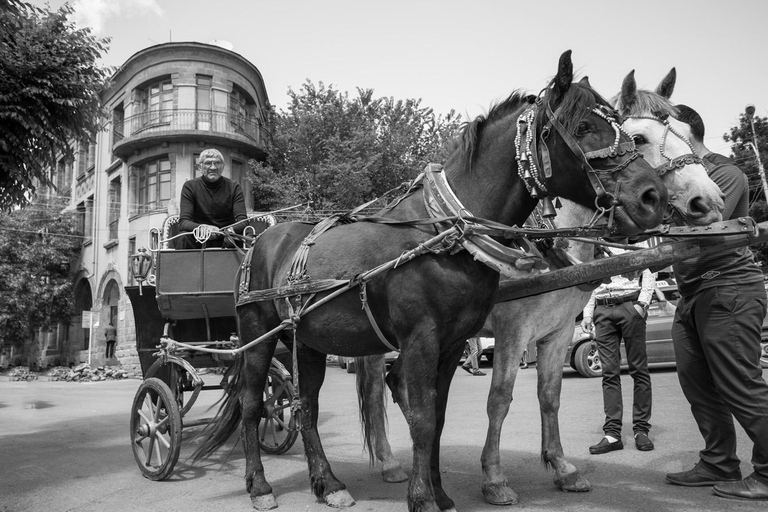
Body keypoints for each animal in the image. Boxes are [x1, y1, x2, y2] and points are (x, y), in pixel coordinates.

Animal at [192, 49, 664, 512]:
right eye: (584, 127)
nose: (652, 196)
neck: (447, 232)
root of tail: (259, 238)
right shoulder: (432, 337)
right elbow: (426, 414)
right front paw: (426, 497)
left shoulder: (459, 342)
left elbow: (440, 416)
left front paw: (441, 493)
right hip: (257, 331)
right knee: (254, 403)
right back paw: (261, 486)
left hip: (308, 340)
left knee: (306, 406)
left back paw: (328, 483)